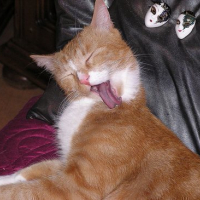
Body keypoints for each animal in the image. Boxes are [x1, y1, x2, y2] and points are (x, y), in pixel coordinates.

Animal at [0, 0, 200, 199]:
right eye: (69, 74)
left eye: (89, 56)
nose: (83, 78)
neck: (90, 107)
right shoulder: (65, 163)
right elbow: (30, 170)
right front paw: (5, 178)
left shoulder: (77, 184)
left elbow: (23, 191)